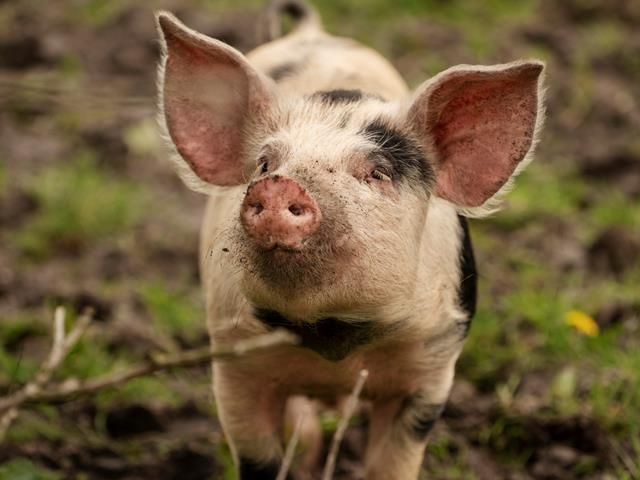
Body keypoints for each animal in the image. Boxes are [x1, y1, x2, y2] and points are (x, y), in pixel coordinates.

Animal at [155, 1, 545, 478]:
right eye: (264, 164)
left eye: (377, 172)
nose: (279, 185)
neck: (334, 337)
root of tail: (312, 31)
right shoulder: (234, 364)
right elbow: (259, 455)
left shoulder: (431, 370)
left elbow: (393, 463)